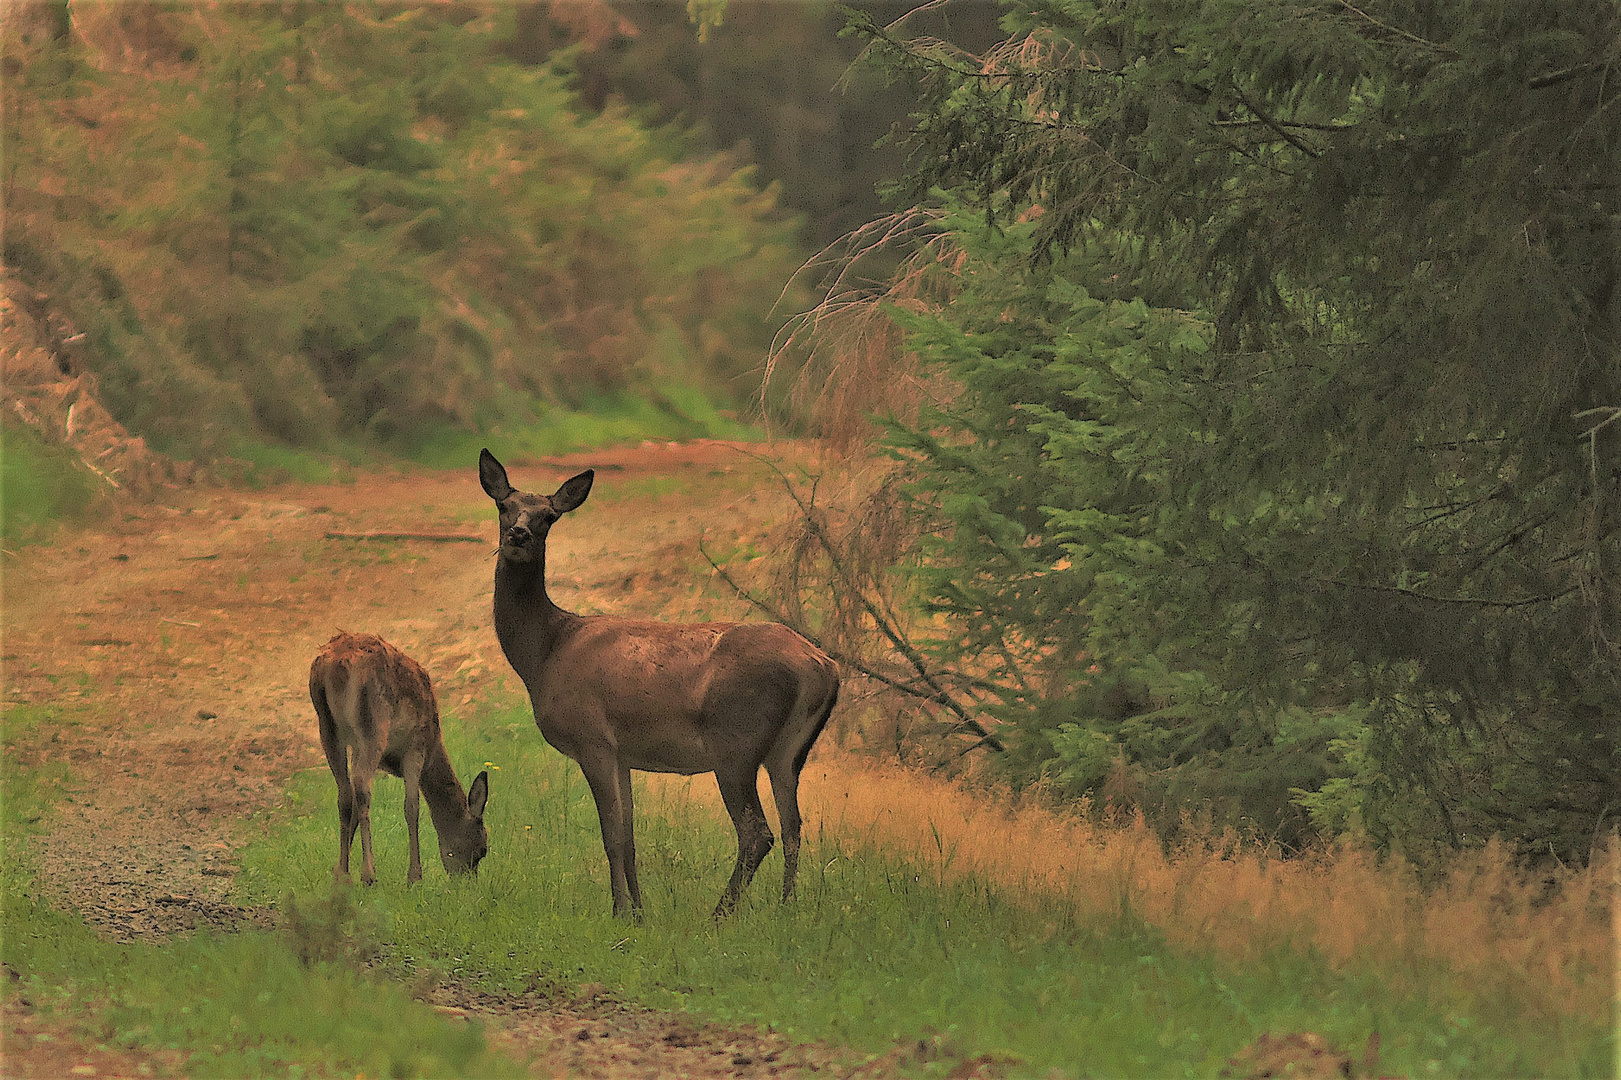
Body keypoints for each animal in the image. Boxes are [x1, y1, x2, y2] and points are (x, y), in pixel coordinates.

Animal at [307, 632, 486, 882]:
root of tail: (336, 666)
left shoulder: (357, 748)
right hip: (373, 722)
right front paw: (415, 876)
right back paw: (368, 873)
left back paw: (343, 874)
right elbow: (412, 806)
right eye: (481, 850)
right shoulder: (415, 747)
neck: (434, 747)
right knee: (361, 786)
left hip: (327, 725)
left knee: (345, 793)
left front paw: (339, 871)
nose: (468, 881)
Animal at [476, 447, 836, 914]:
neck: (545, 653)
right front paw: (640, 913)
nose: (518, 534)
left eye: (549, 515)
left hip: (736, 742)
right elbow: (629, 838)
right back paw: (785, 908)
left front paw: (618, 912)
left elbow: (611, 836)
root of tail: (822, 666)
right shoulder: (623, 753)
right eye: (503, 506)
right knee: (794, 828)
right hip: (788, 751)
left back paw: (720, 914)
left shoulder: (592, 739)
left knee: (758, 833)